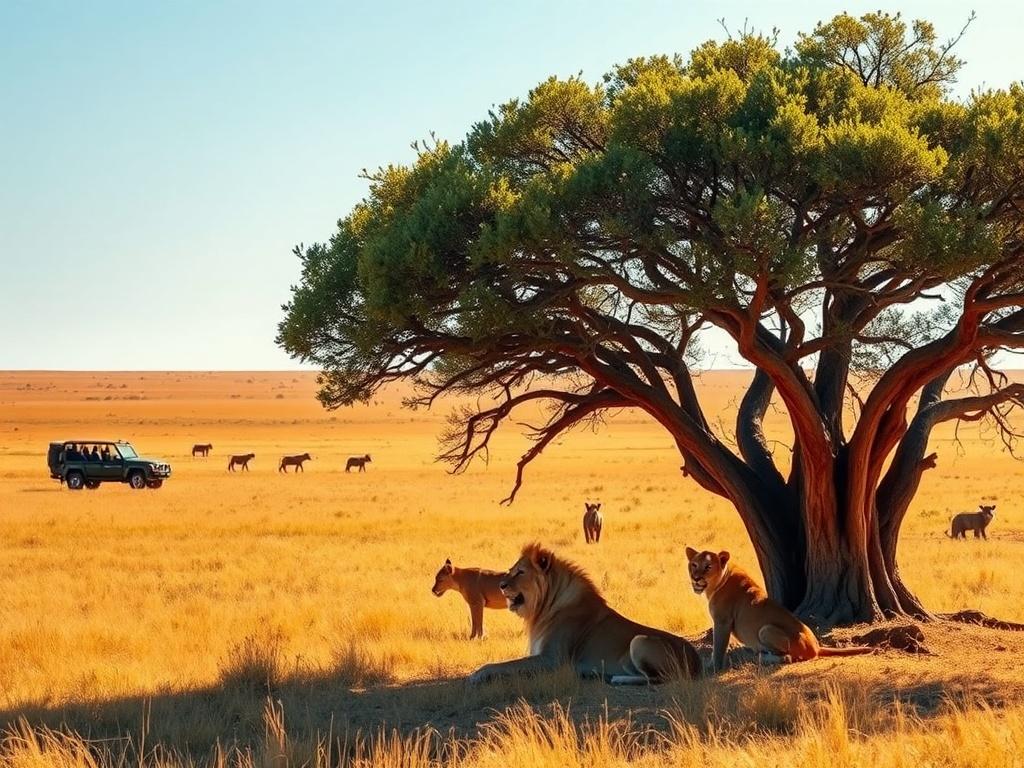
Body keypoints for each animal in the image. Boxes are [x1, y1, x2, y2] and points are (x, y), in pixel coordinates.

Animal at [469, 543, 701, 685]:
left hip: (639, 640)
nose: (501, 585)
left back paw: (615, 678)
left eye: (520, 572)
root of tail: (696, 661)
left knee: (660, 679)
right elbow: (506, 663)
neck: (543, 606)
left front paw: (476, 674)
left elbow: (502, 665)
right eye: (510, 570)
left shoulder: (552, 659)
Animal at [686, 547, 873, 671]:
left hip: (766, 629)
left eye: (708, 567)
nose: (696, 578)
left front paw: (712, 667)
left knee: (788, 657)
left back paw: (762, 656)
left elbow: (718, 647)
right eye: (694, 565)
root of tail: (816, 647)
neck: (715, 584)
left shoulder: (722, 622)